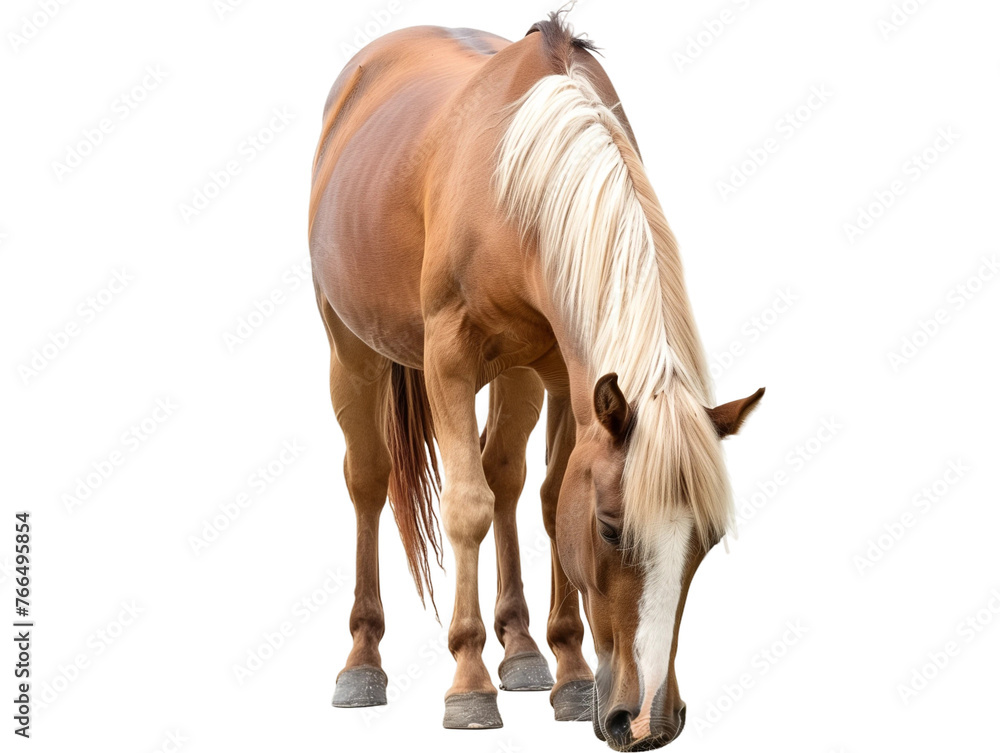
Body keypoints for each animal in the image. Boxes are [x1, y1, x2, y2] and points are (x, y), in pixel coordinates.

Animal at [308, 11, 763, 750]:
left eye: (708, 539)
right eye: (610, 528)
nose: (649, 722)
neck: (520, 181)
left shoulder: (564, 371)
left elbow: (549, 502)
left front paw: (569, 672)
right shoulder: (450, 358)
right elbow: (466, 505)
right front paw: (468, 685)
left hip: (517, 372)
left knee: (506, 475)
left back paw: (522, 650)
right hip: (350, 351)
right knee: (370, 481)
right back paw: (362, 662)